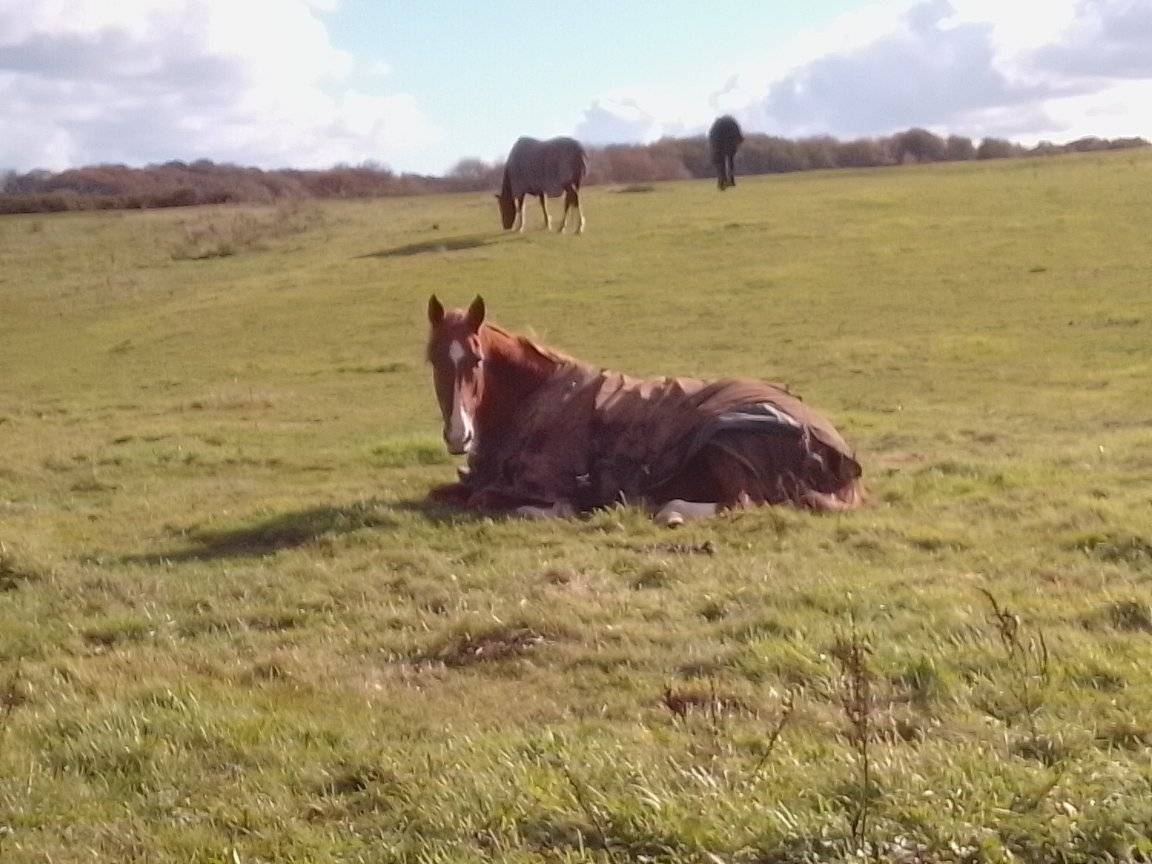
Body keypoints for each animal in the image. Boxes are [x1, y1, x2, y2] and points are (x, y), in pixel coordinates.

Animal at [425, 296, 863, 525]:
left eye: (477, 361)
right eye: (432, 359)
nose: (459, 435)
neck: (535, 397)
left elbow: (490, 500)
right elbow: (445, 492)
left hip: (724, 445)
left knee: (740, 503)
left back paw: (667, 510)